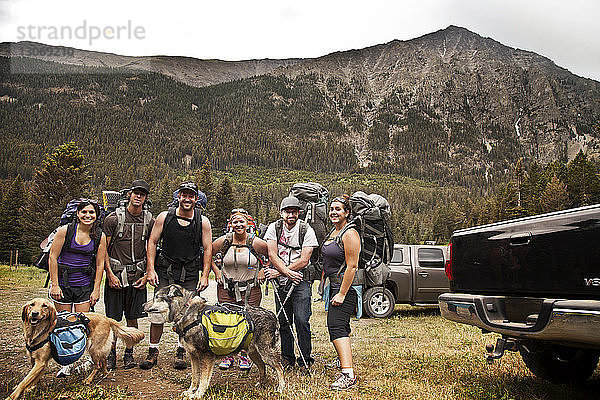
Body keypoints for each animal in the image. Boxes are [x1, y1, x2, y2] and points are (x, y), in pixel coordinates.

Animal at [145, 284, 286, 400]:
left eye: (156, 297)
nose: (143, 305)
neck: (186, 312)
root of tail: (272, 315)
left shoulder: (206, 357)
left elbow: (203, 379)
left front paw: (198, 394)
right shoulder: (193, 356)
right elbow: (194, 377)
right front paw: (190, 391)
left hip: (266, 352)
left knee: (280, 368)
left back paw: (281, 388)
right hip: (253, 353)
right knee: (262, 366)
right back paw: (261, 384)